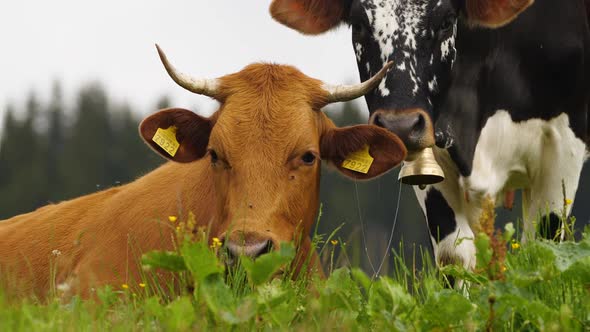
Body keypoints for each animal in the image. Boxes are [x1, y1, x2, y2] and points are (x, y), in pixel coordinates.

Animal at [272, 0, 590, 270]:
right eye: (359, 24)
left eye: (447, 21)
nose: (399, 126)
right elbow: (455, 253)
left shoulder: (564, 141)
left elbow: (545, 248)